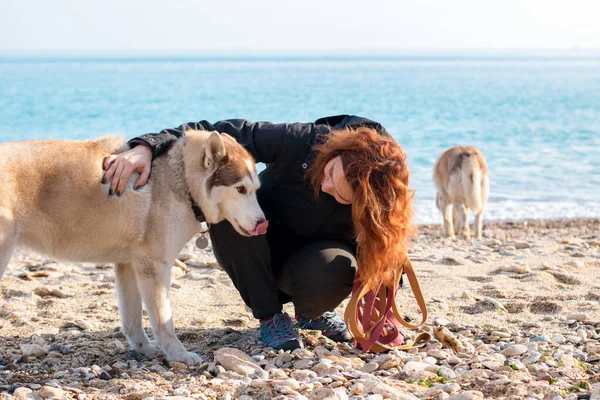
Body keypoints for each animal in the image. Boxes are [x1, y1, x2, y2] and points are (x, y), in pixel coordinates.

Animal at [0, 131, 268, 366]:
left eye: (256, 189)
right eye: (240, 189)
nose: (263, 224)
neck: (180, 179)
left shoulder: (128, 266)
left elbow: (132, 320)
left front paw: (145, 349)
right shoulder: (154, 268)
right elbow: (164, 322)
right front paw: (178, 355)